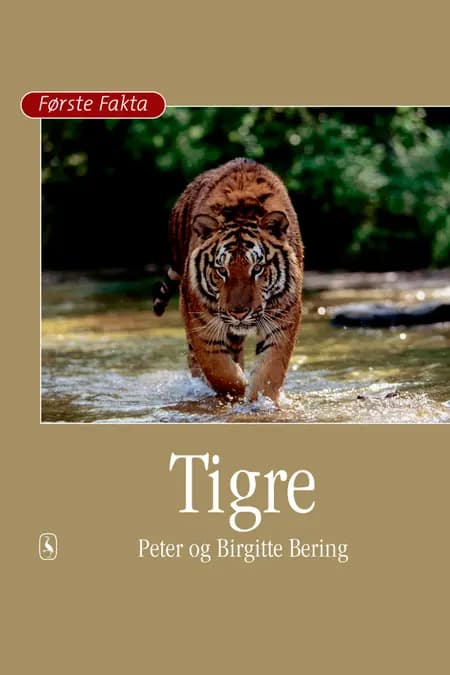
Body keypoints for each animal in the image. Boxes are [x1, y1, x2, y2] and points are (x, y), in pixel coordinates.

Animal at [153, 157, 304, 402]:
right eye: (222, 270)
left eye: (257, 269)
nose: (239, 313)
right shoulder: (200, 321)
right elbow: (219, 371)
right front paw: (238, 390)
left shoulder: (283, 317)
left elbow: (269, 371)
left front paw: (259, 402)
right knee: (195, 359)